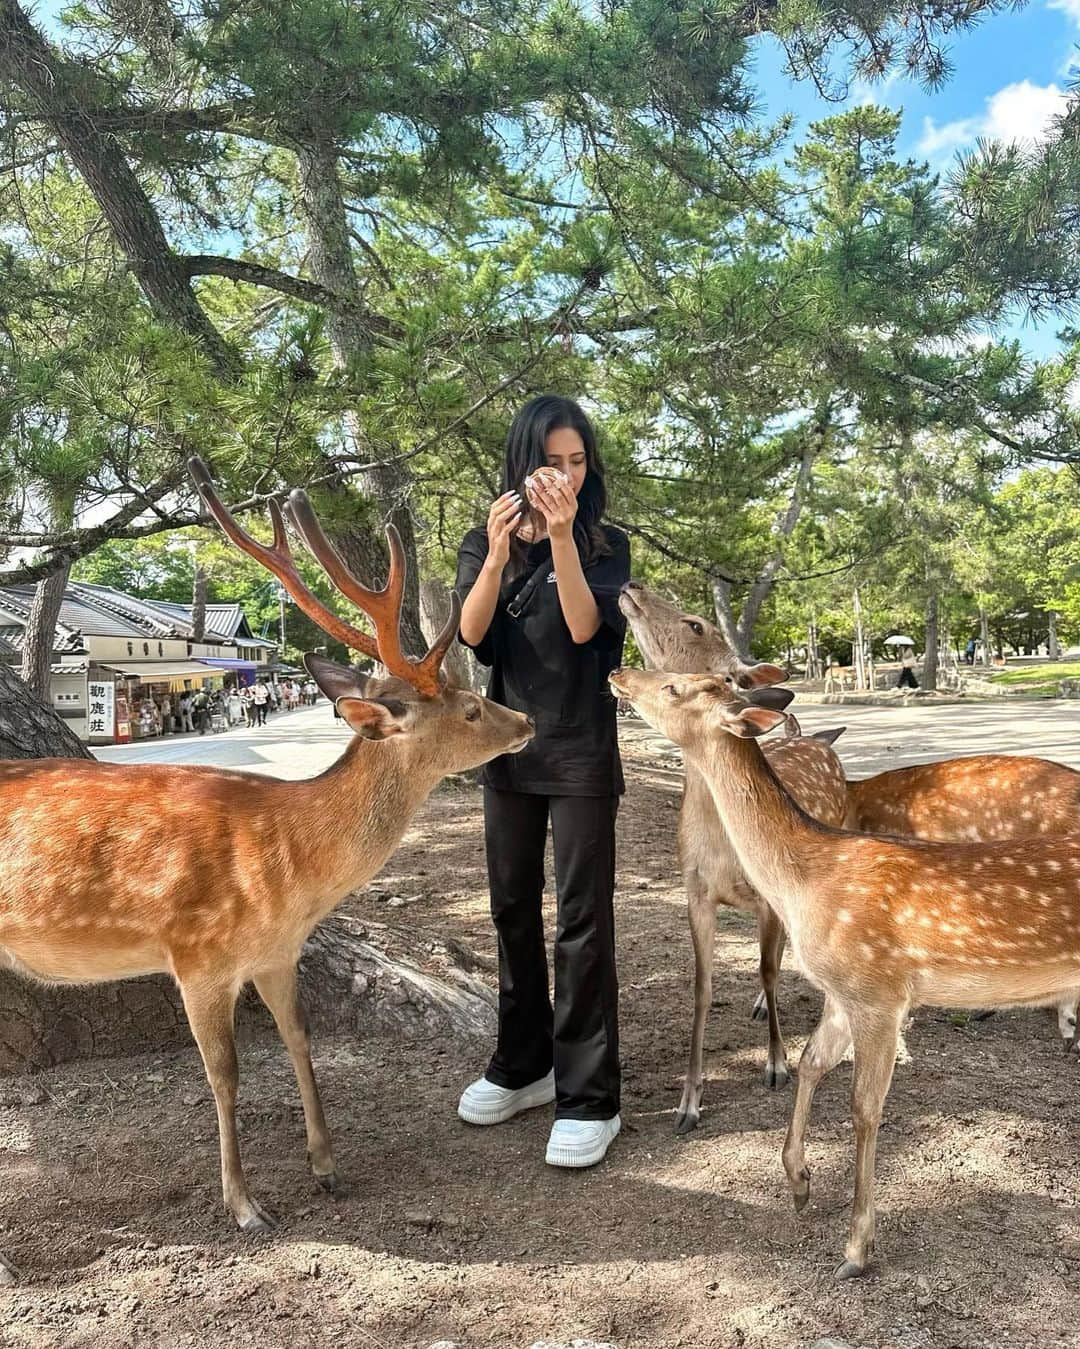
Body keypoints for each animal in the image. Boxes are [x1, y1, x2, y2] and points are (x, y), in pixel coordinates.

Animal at [0, 461, 533, 1284]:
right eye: (472, 709)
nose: (526, 721)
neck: (288, 873)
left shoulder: (278, 953)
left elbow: (301, 1040)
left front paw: (327, 1166)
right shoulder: (197, 954)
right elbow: (225, 1074)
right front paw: (246, 1204)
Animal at [606, 669, 1078, 1278]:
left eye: (675, 687)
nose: (617, 673)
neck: (807, 883)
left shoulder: (878, 990)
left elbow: (864, 1106)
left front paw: (856, 1248)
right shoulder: (839, 991)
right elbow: (811, 1062)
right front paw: (798, 1182)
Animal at [612, 582, 846, 1127]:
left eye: (696, 623)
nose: (631, 585)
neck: (722, 846)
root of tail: (811, 739)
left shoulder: (766, 899)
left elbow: (768, 968)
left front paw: (777, 1064)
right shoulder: (695, 891)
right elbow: (702, 987)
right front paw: (688, 1100)